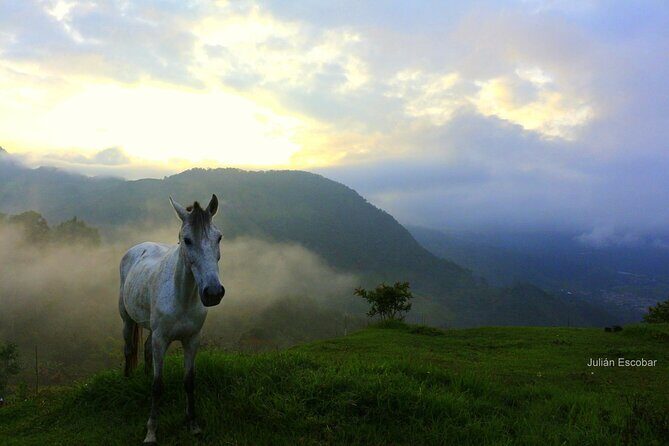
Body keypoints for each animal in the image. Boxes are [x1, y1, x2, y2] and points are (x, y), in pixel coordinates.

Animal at [119, 194, 225, 445]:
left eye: (218, 237)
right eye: (186, 240)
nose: (213, 292)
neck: (182, 298)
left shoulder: (192, 340)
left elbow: (189, 381)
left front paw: (193, 424)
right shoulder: (161, 340)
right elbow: (158, 386)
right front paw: (151, 432)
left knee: (146, 349)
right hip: (127, 319)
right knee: (129, 348)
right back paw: (127, 379)